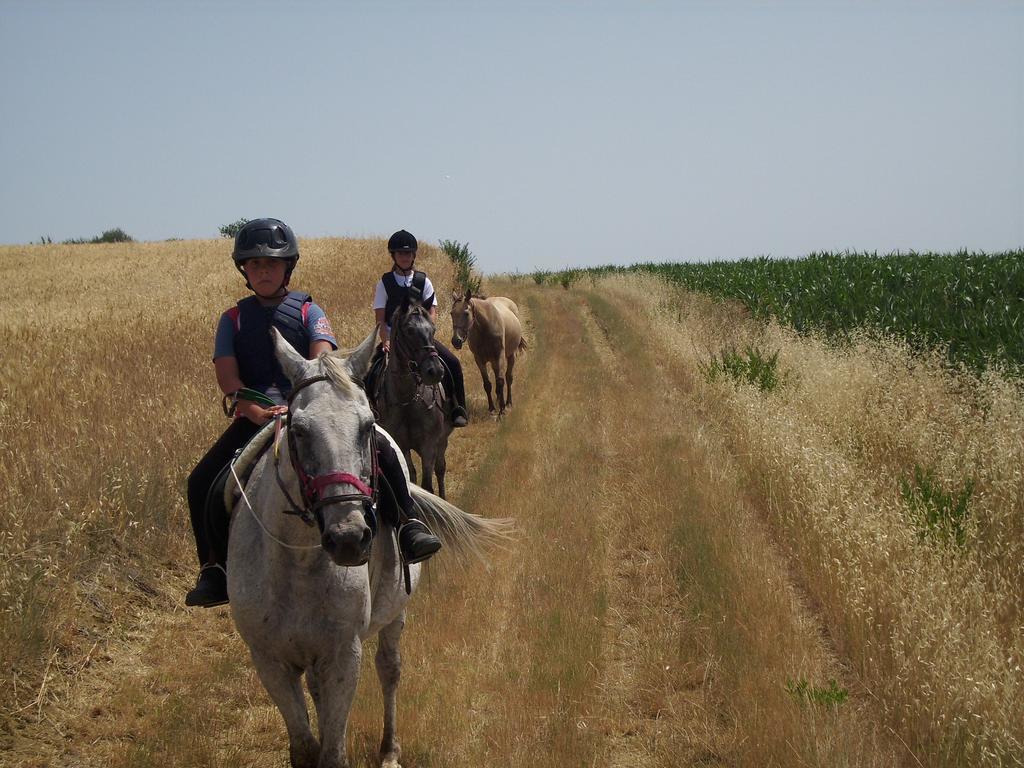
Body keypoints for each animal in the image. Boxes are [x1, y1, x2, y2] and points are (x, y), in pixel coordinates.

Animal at [228, 327, 507, 768]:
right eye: (298, 430)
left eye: (367, 426)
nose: (348, 537)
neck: (299, 561)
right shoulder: (269, 660)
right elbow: (305, 747)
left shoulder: (344, 655)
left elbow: (333, 753)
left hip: (394, 614)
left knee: (389, 671)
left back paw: (389, 750)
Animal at [450, 290, 528, 421]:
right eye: (452, 313)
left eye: (466, 313)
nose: (456, 341)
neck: (485, 329)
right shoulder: (479, 360)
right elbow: (487, 384)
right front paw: (492, 409)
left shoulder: (499, 357)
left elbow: (500, 382)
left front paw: (502, 412)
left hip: (510, 355)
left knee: (508, 378)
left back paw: (508, 403)